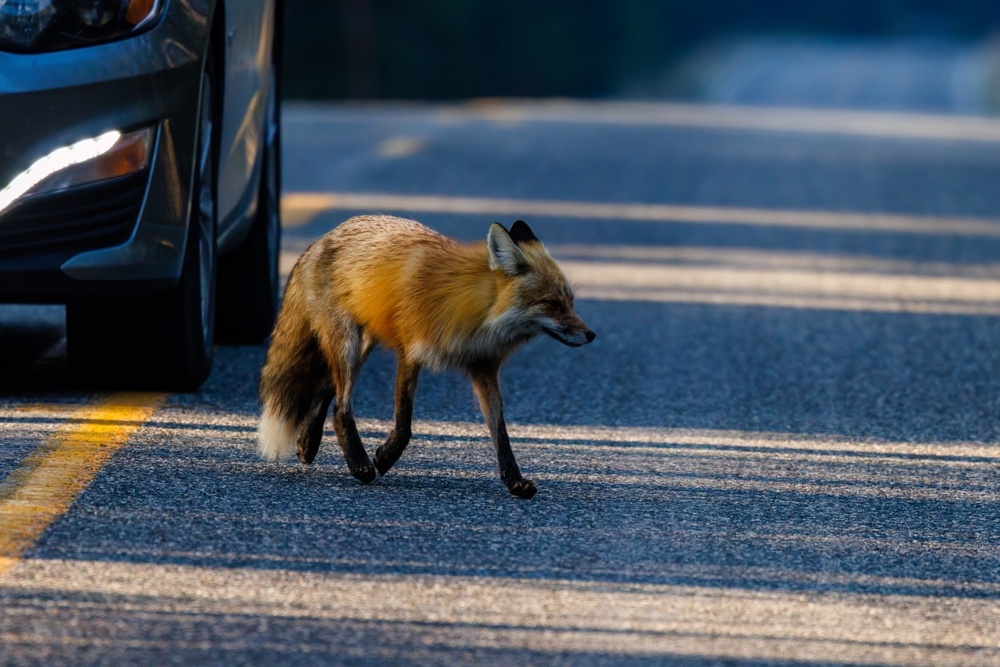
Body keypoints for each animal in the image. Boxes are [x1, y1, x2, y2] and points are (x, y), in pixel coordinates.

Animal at [257, 215, 594, 499]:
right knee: (342, 406)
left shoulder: (484, 369)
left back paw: (308, 444)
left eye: (570, 301)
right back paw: (359, 464)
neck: (476, 315)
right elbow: (404, 423)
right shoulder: (410, 353)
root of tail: (323, 239)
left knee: (327, 389)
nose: (591, 335)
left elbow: (501, 435)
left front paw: (514, 481)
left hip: (363, 345)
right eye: (551, 303)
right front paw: (384, 457)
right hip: (347, 343)